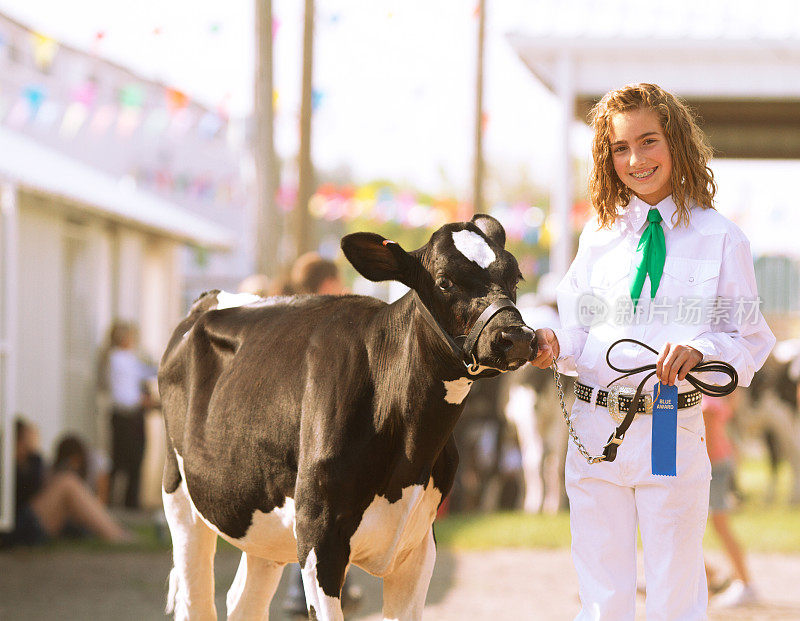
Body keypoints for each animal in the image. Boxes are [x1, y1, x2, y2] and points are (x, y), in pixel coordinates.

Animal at [157, 214, 536, 620]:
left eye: (515, 277)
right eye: (444, 281)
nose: (515, 336)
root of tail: (209, 299)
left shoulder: (418, 544)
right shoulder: (318, 538)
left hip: (262, 522)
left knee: (243, 601)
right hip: (181, 498)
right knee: (196, 600)